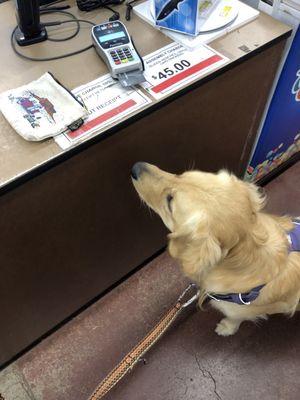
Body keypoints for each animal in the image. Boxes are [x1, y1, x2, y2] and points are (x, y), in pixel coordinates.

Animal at [131, 162, 300, 334]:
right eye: (180, 175)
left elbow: (235, 318)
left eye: (169, 201)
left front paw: (227, 327)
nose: (135, 167)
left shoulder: (242, 310)